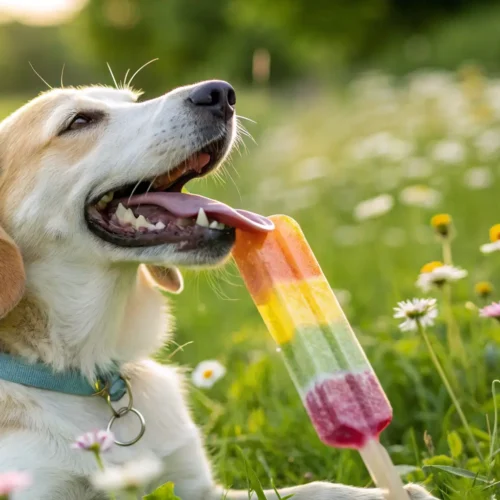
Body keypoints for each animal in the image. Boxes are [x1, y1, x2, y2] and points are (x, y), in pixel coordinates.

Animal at [0, 82, 434, 500]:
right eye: (79, 121)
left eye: (132, 101)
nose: (219, 92)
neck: (92, 374)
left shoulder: (197, 488)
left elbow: (318, 489)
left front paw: (403, 490)